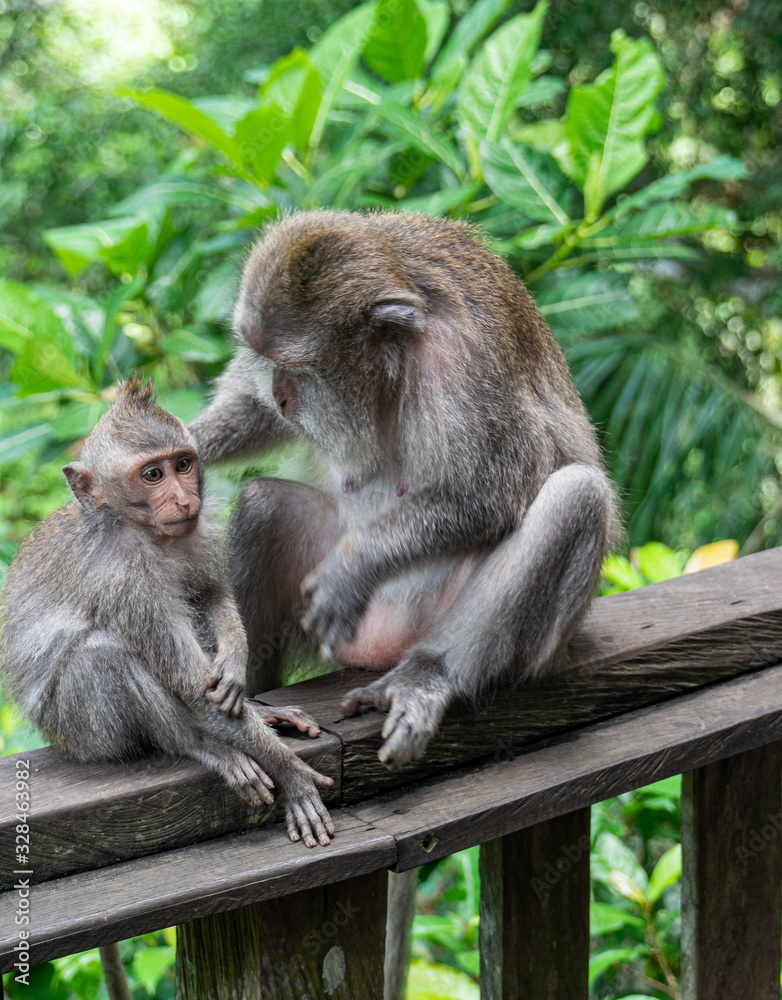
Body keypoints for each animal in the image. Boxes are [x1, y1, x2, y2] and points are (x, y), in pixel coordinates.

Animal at [0, 378, 336, 848]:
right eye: (153, 475)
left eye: (182, 464)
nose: (183, 499)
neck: (140, 531)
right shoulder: (123, 577)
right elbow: (194, 686)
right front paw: (291, 774)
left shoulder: (200, 530)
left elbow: (210, 596)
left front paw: (235, 662)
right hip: (80, 734)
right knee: (101, 655)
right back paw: (201, 744)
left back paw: (259, 712)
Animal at [190, 211, 620, 768]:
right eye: (262, 357)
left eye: (302, 367)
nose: (283, 397)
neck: (395, 360)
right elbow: (252, 412)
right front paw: (183, 444)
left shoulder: (462, 358)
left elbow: (495, 490)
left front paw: (355, 568)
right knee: (263, 505)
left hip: (525, 648)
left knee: (577, 495)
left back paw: (428, 674)